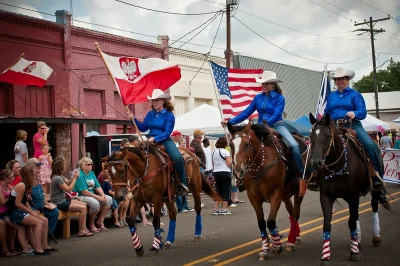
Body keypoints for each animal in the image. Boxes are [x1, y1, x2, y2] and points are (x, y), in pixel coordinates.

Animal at [228, 120, 306, 260]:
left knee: (295, 214)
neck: (259, 165)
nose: (237, 171)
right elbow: (261, 223)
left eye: (246, 144)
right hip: (285, 195)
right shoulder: (253, 197)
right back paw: (295, 237)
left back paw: (291, 242)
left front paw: (276, 246)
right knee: (292, 213)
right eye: (231, 145)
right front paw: (264, 249)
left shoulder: (276, 194)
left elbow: (270, 221)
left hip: (298, 192)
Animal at [310, 112, 390, 264]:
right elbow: (327, 224)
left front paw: (354, 253)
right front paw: (325, 256)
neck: (338, 166)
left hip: (374, 189)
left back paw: (376, 238)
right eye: (311, 136)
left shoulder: (353, 196)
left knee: (374, 207)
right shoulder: (326, 196)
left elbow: (352, 222)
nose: (316, 162)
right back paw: (357, 240)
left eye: (327, 136)